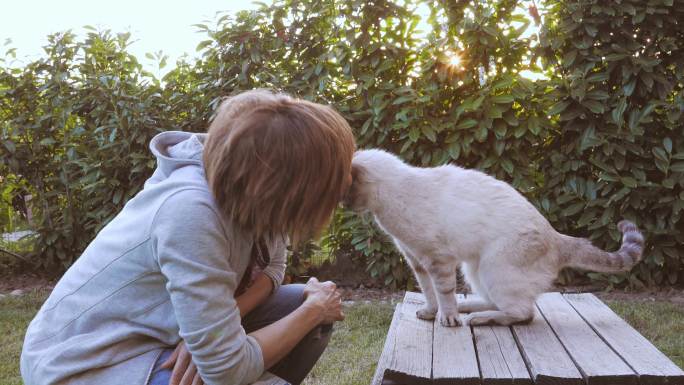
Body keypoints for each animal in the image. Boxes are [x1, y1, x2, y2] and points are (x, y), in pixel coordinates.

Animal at [344, 148, 644, 326]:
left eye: (346, 190)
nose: (344, 205)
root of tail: (556, 235)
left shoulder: (438, 260)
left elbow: (443, 293)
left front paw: (447, 318)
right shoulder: (416, 261)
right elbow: (428, 292)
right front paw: (431, 313)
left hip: (492, 267)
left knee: (523, 313)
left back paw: (478, 318)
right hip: (473, 269)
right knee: (493, 300)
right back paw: (470, 309)